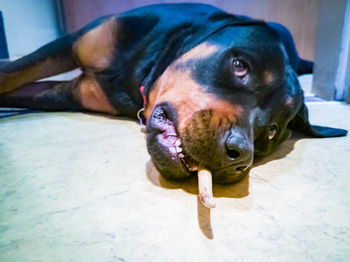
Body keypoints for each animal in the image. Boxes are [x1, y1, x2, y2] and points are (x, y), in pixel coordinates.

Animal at [0, 3, 346, 206]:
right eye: (239, 65)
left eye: (272, 130)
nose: (239, 155)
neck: (143, 65)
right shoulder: (72, 45)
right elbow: (12, 74)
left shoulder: (69, 92)